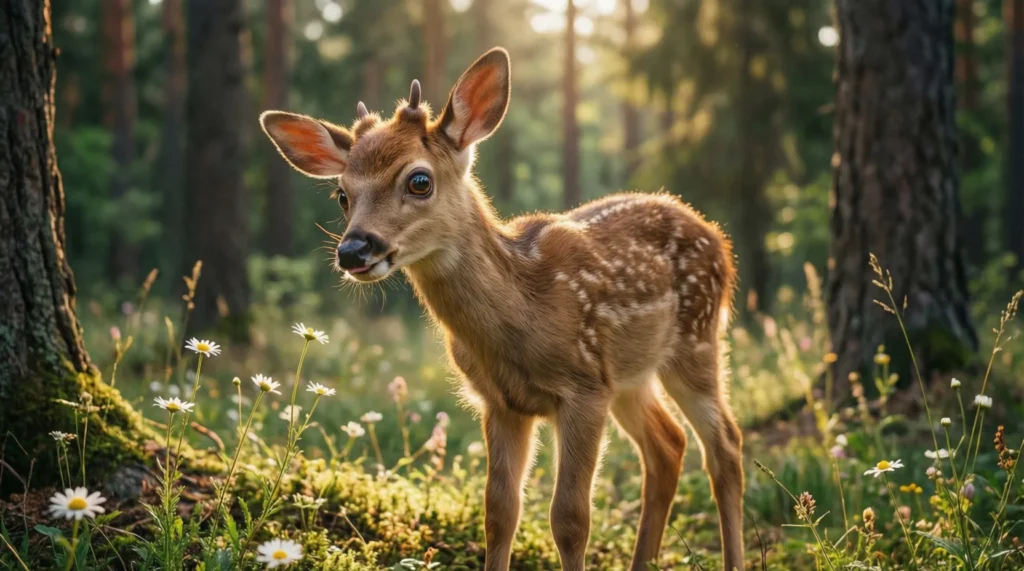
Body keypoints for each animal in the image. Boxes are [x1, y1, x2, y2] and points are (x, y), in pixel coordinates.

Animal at [260, 48, 744, 571]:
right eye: (342, 194)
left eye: (419, 180)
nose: (353, 251)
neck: (522, 315)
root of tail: (718, 237)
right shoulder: (501, 401)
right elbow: (499, 511)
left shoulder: (583, 388)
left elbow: (570, 518)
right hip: (631, 376)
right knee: (668, 444)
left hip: (696, 342)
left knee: (725, 446)